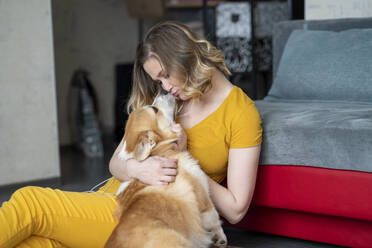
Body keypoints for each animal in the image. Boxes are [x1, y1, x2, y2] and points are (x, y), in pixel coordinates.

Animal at [104, 91, 227, 248]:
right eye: (154, 109)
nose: (163, 90)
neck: (160, 151)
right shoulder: (203, 196)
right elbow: (215, 219)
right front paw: (220, 238)